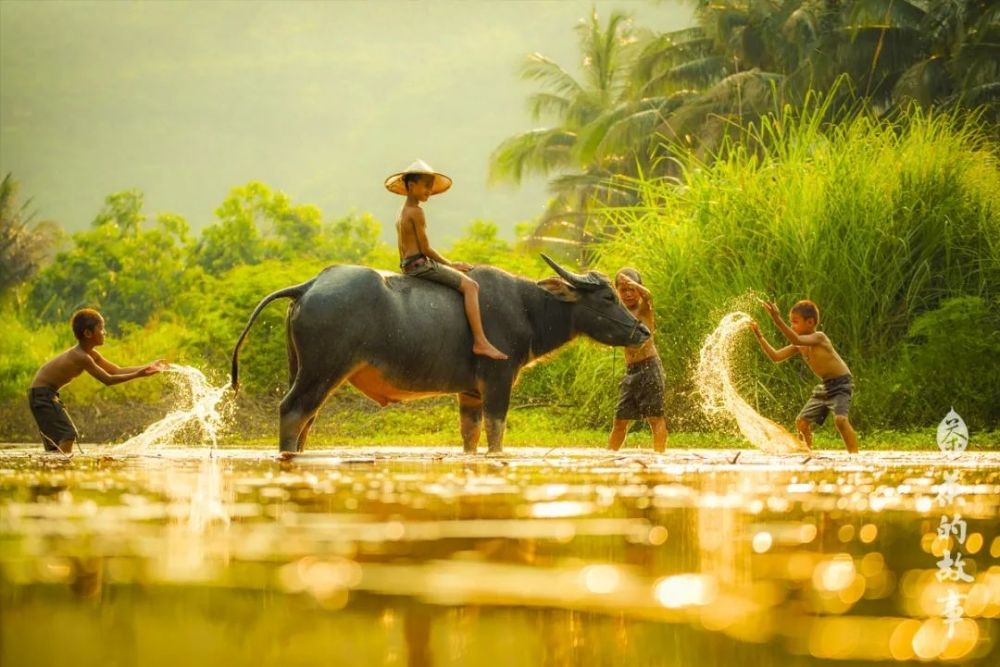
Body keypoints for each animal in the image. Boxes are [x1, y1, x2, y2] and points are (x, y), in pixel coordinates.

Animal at [233, 254, 648, 454]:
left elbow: (470, 436)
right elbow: (496, 436)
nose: (642, 330)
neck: (527, 308)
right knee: (293, 412)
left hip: (301, 369)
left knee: (307, 419)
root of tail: (311, 284)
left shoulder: (470, 393)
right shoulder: (497, 382)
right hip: (322, 370)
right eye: (607, 297)